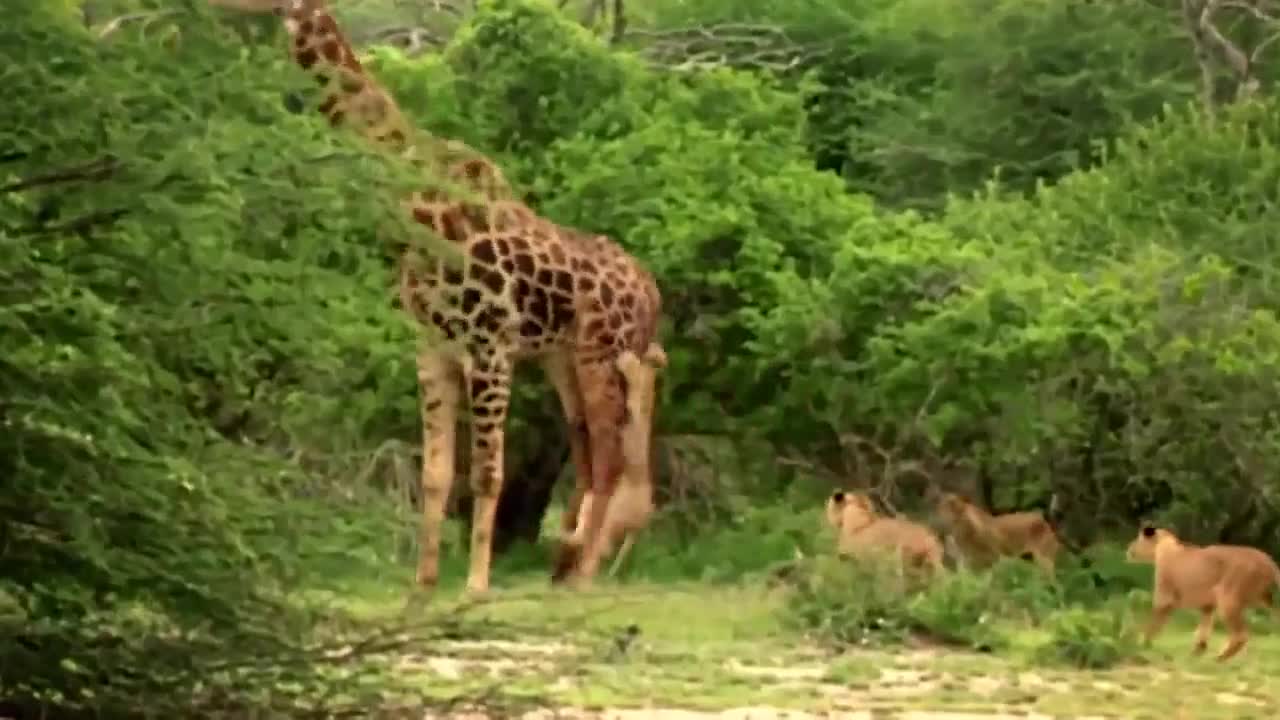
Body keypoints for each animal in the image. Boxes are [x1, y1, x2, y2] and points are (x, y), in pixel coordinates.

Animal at [204, 0, 665, 589]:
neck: (413, 207)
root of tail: (652, 294)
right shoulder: (432, 346)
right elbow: (436, 475)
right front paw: (420, 590)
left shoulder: (490, 345)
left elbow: (487, 473)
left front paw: (474, 589)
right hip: (562, 358)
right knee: (586, 450)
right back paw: (562, 566)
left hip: (601, 353)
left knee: (608, 453)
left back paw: (581, 576)